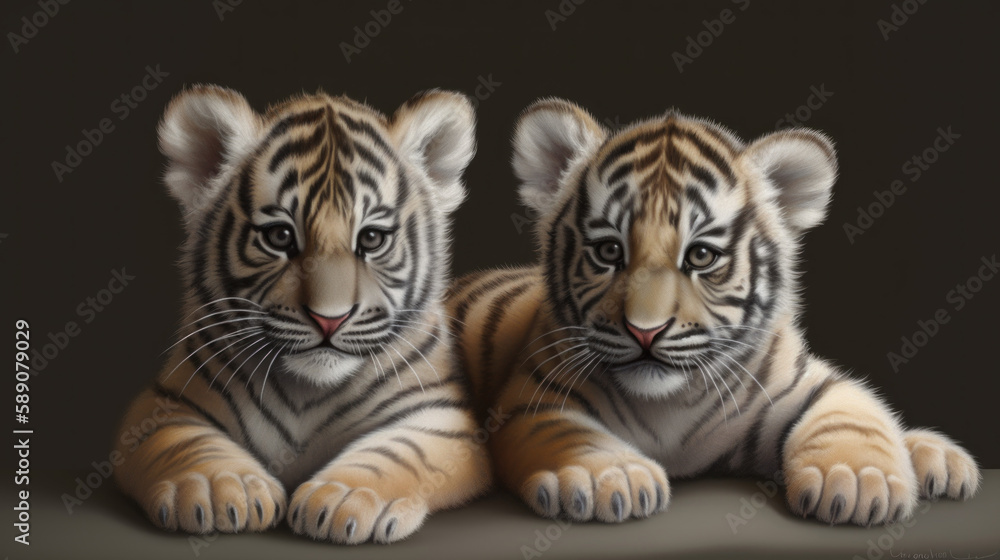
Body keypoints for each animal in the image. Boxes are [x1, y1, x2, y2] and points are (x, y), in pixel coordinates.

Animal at [113, 85, 491, 544]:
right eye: (279, 236)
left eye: (372, 238)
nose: (330, 319)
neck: (307, 391)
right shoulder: (163, 405)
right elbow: (189, 444)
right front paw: (221, 488)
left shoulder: (442, 417)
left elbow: (400, 450)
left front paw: (345, 498)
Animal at [448, 98, 981, 525]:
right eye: (608, 251)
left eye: (701, 256)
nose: (645, 332)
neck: (670, 403)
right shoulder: (534, 399)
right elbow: (566, 435)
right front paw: (610, 477)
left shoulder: (806, 384)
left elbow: (851, 418)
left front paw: (857, 478)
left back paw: (938, 457)